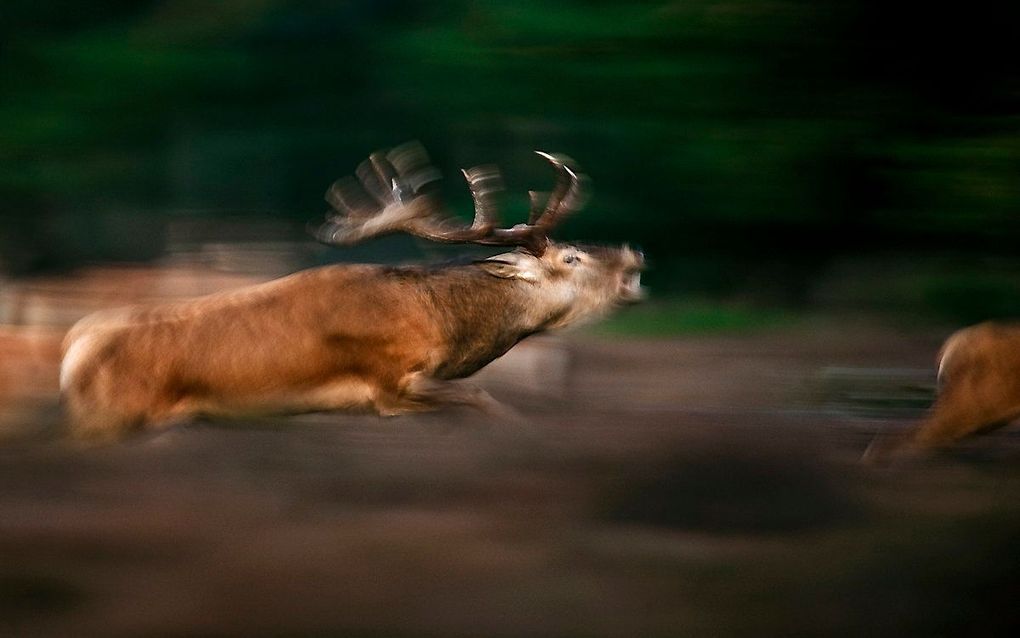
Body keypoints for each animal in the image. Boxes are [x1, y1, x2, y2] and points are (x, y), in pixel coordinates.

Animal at [59, 142, 644, 436]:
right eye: (571, 257)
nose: (633, 258)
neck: (446, 327)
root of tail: (72, 353)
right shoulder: (391, 382)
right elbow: (486, 401)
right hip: (115, 412)